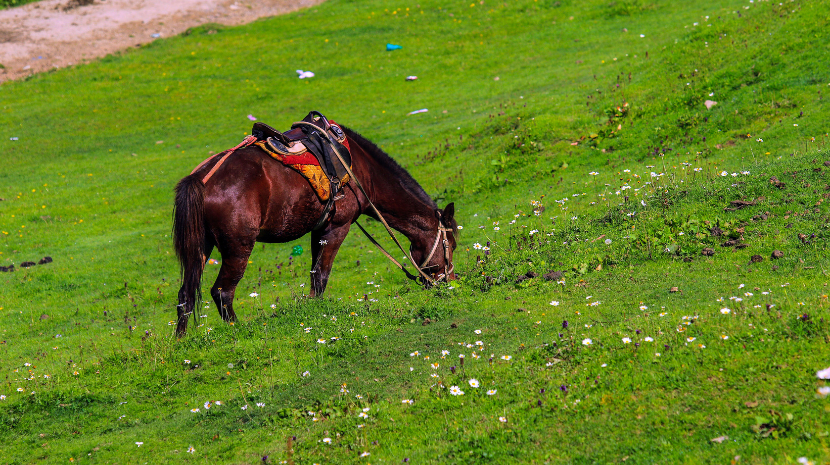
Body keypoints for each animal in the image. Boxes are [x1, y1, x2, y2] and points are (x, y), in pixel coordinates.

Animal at [172, 124, 458, 336]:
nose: (450, 283)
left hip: (201, 246)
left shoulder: (317, 229)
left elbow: (313, 273)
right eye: (451, 245)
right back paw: (237, 330)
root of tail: (199, 179)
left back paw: (181, 340)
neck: (360, 171)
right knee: (222, 292)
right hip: (237, 248)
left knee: (186, 294)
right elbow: (321, 276)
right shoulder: (337, 226)